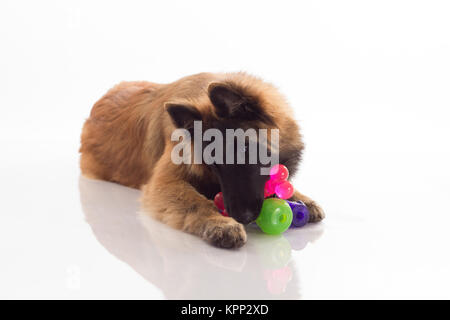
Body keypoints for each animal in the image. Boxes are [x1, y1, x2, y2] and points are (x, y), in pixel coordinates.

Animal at [78, 73, 324, 250]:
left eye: (244, 149)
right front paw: (220, 223)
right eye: (214, 164)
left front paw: (301, 198)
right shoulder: (165, 183)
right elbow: (194, 201)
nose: (241, 217)